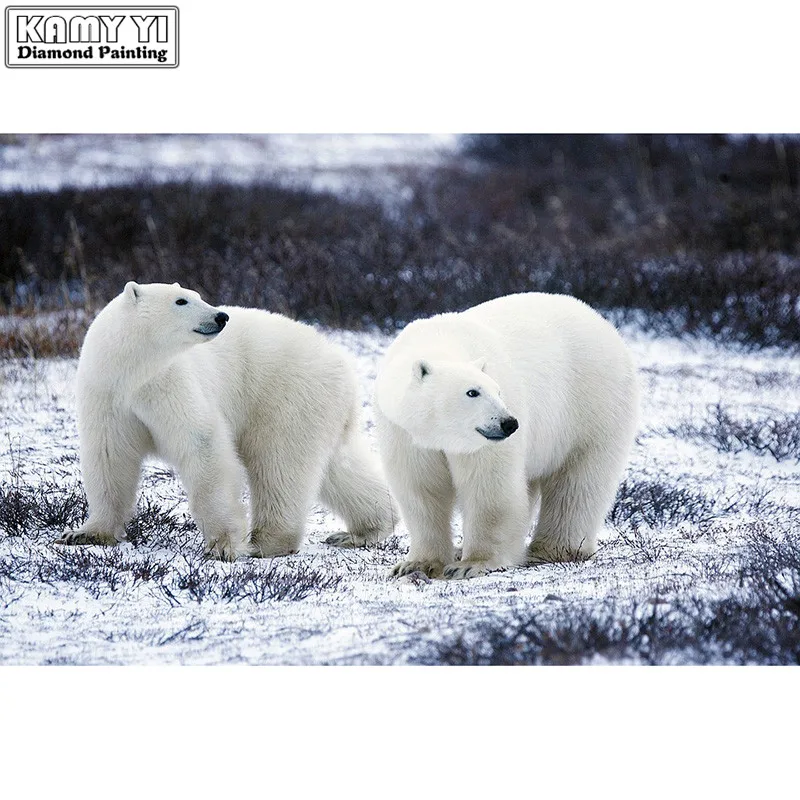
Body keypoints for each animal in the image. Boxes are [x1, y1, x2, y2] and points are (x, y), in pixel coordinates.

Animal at [58, 281, 396, 560]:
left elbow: (202, 444)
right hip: (319, 407)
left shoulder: (170, 383)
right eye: (181, 300)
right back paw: (362, 530)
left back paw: (266, 542)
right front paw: (85, 533)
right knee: (338, 467)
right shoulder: (107, 394)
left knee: (279, 463)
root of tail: (343, 363)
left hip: (287, 394)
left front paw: (222, 546)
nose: (221, 316)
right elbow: (109, 456)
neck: (132, 371)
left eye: (197, 295)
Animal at [374, 292, 639, 579]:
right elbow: (421, 489)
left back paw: (553, 549)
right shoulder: (404, 433)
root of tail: (603, 323)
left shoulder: (483, 443)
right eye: (472, 392)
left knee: (578, 481)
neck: (440, 340)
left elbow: (489, 487)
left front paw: (471, 563)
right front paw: (416, 564)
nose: (509, 423)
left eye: (498, 391)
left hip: (592, 404)